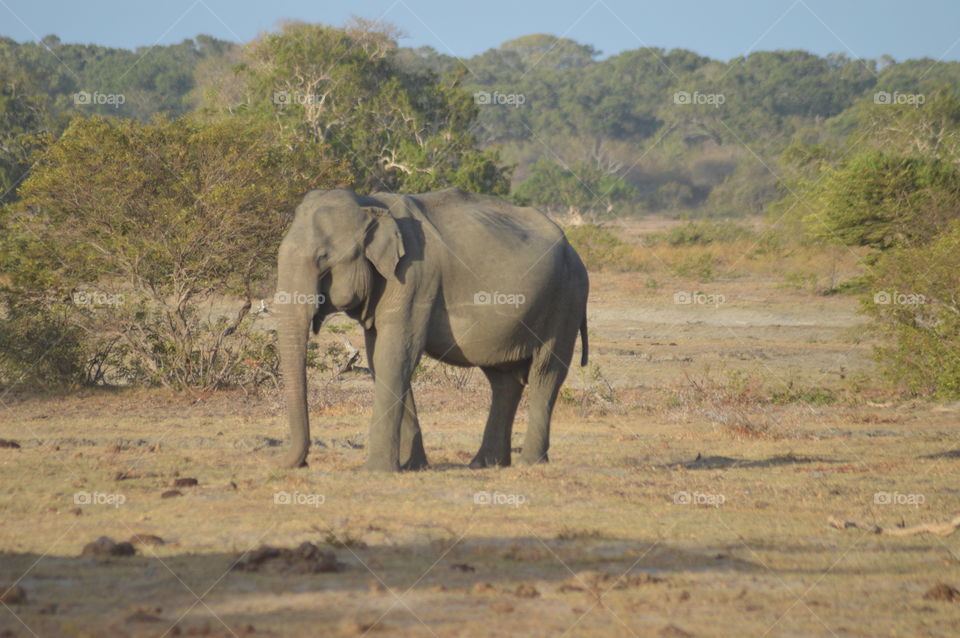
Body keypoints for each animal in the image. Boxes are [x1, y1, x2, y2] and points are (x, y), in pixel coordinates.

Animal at [278, 188, 588, 472]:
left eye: (323, 260)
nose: (300, 463)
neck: (371, 204)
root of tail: (574, 250)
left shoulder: (414, 278)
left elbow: (396, 355)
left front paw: (377, 470)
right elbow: (381, 358)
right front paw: (413, 466)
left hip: (565, 301)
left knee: (545, 373)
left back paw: (529, 463)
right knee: (504, 379)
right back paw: (484, 464)